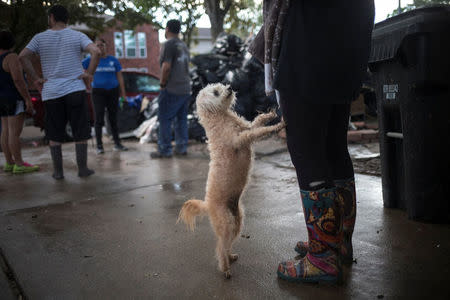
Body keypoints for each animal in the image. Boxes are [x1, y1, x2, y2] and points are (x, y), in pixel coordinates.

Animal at [177, 83, 284, 278]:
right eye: (216, 92)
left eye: (219, 86)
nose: (230, 88)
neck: (222, 118)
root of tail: (207, 205)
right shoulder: (241, 139)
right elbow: (258, 131)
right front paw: (278, 125)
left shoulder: (246, 128)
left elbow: (256, 122)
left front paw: (270, 114)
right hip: (226, 224)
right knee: (220, 247)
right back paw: (225, 267)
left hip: (237, 221)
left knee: (227, 244)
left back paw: (230, 256)